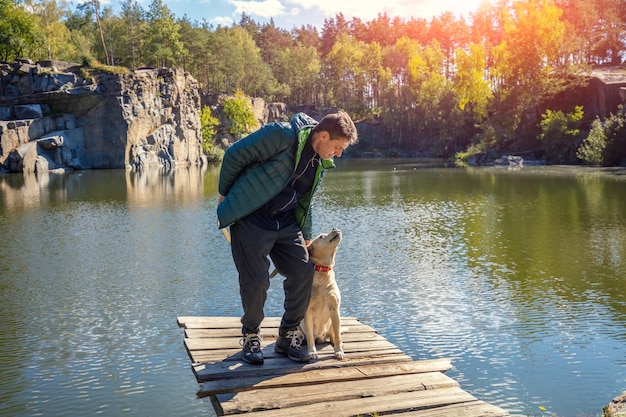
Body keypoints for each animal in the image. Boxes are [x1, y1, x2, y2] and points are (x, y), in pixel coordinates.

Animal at [300, 226, 344, 360]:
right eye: (321, 236)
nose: (335, 227)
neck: (323, 271)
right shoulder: (307, 311)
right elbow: (310, 337)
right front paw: (312, 352)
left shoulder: (335, 309)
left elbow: (338, 335)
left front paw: (338, 351)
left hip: (333, 322)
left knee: (335, 334)